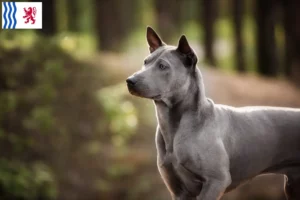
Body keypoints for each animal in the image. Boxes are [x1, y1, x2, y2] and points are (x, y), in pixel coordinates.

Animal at [125, 27, 300, 200]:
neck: (174, 126)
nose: (129, 81)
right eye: (145, 62)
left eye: (162, 66)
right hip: (292, 187)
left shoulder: (216, 181)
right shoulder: (179, 191)